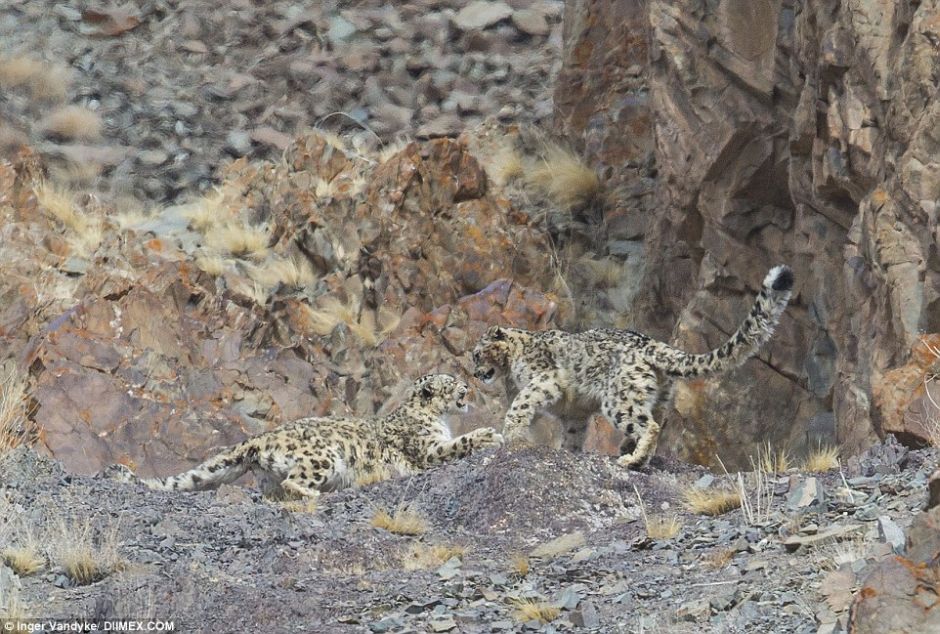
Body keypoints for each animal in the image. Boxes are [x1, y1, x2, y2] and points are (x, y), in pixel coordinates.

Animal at [112, 370, 500, 498]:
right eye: (451, 381)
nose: (467, 385)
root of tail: (257, 439)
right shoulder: (427, 450)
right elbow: (456, 445)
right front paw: (490, 435)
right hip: (323, 457)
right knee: (294, 483)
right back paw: (318, 495)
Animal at [470, 264, 792, 466]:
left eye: (476, 355)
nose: (474, 373)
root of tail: (653, 344)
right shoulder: (574, 415)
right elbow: (573, 432)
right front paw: (570, 451)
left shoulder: (544, 379)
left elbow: (521, 403)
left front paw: (511, 434)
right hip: (658, 397)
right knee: (655, 421)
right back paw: (631, 452)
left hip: (618, 399)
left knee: (648, 425)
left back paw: (631, 460)